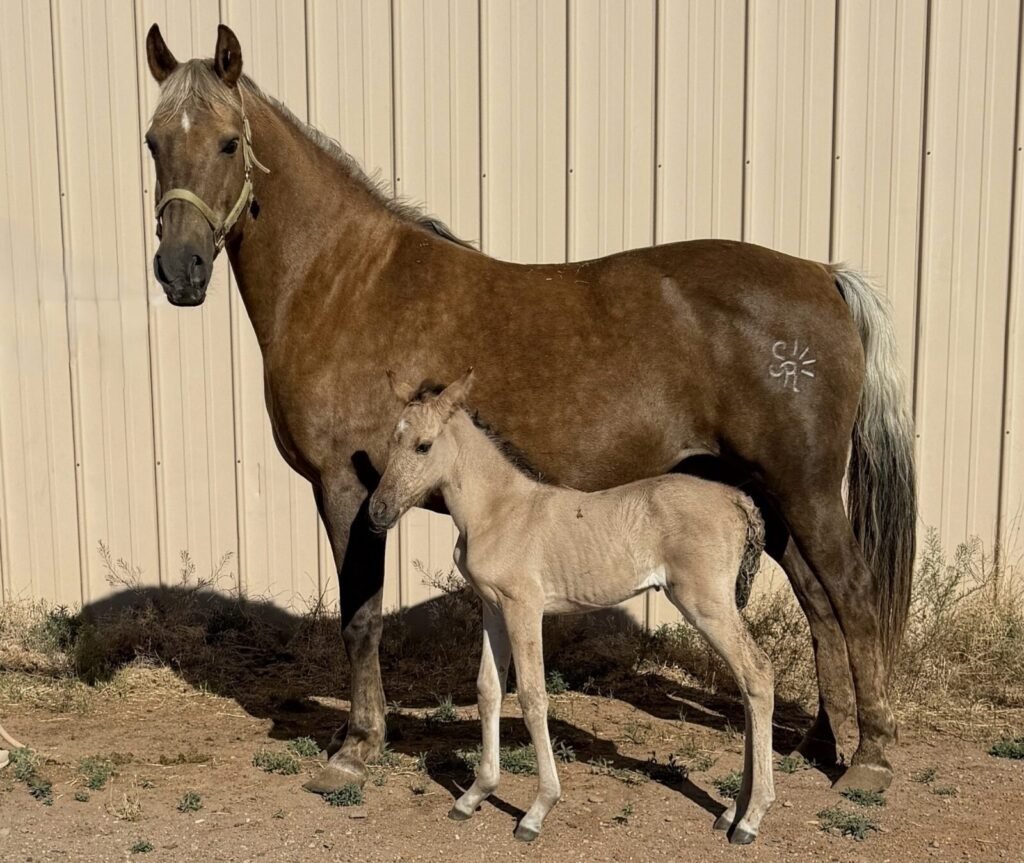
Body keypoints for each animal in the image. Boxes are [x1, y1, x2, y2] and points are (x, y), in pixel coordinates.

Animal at [142, 24, 916, 795]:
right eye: (153, 141)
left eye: (228, 143)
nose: (180, 269)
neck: (342, 283)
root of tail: (822, 275)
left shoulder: (347, 488)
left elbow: (359, 618)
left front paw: (358, 745)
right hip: (769, 494)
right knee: (819, 604)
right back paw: (819, 742)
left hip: (806, 490)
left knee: (853, 596)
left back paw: (872, 756)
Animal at [369, 370, 774, 843]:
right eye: (392, 440)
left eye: (424, 445)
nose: (378, 511)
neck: (499, 510)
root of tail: (737, 499)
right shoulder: (493, 608)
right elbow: (488, 689)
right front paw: (473, 796)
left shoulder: (524, 608)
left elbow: (532, 695)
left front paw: (537, 811)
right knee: (747, 685)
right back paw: (732, 812)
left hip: (706, 604)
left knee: (758, 674)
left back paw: (751, 819)